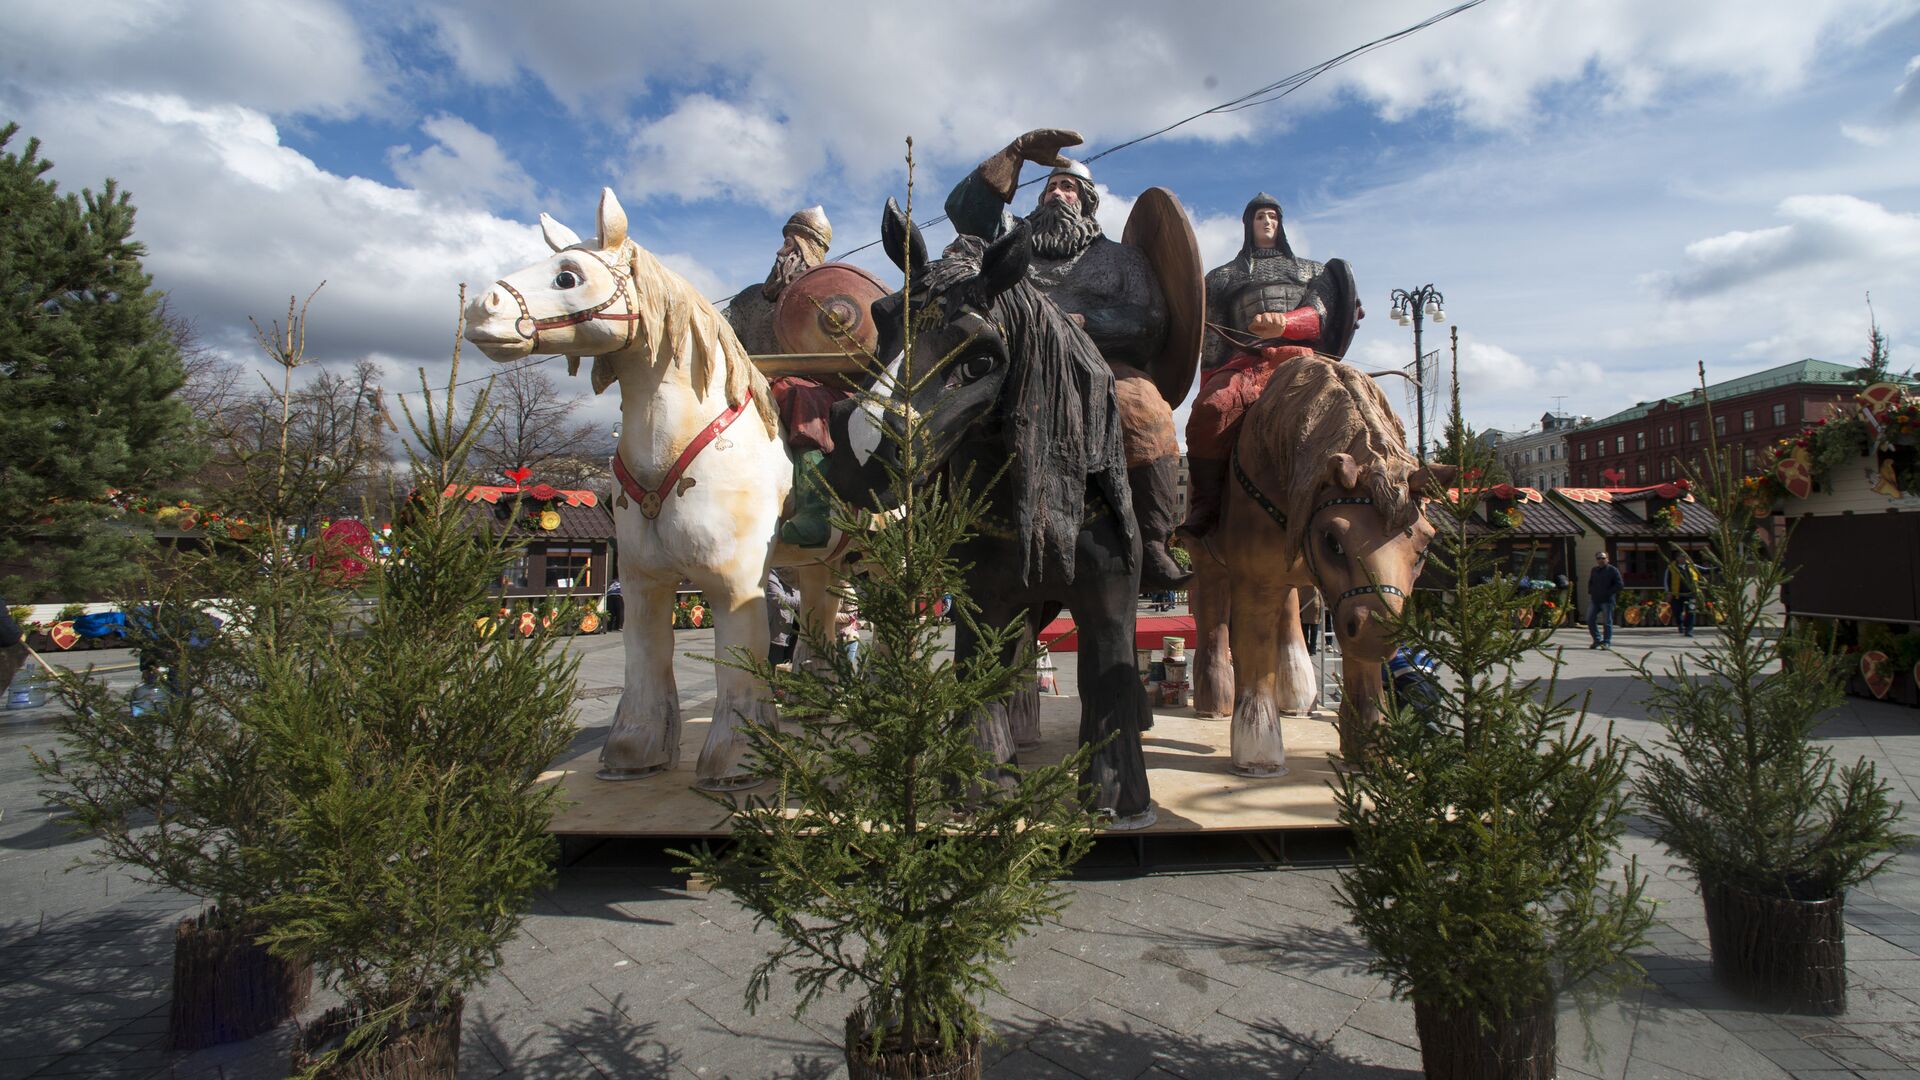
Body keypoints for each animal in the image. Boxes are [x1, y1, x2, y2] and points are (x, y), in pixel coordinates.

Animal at [464, 189, 856, 787]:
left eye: (567, 276)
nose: (481, 309)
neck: (673, 442)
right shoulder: (643, 581)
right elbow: (645, 661)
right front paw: (634, 753)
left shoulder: (735, 582)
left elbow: (739, 669)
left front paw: (735, 760)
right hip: (821, 564)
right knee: (820, 613)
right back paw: (819, 700)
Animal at [821, 201, 1152, 822]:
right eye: (881, 318)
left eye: (980, 360)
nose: (859, 455)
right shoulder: (982, 598)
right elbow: (978, 669)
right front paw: (979, 783)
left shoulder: (1111, 593)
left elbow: (1108, 673)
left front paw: (1118, 796)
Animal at [1190, 355, 1443, 764]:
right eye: (1332, 540)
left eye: (1423, 547)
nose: (1378, 632)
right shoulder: (1255, 578)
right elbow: (1254, 646)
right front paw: (1258, 751)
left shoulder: (1345, 601)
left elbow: (1363, 666)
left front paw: (1369, 748)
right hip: (1209, 561)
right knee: (1213, 617)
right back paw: (1214, 703)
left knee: (1291, 614)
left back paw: (1297, 696)